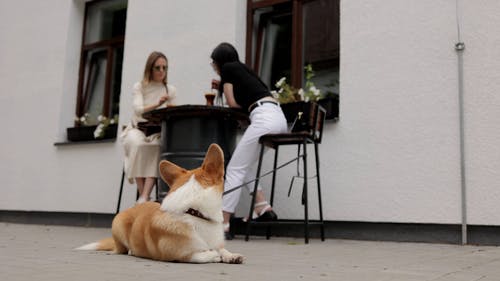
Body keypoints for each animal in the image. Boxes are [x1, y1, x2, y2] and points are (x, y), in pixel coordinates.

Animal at [75, 143, 244, 264]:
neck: (194, 212)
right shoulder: (178, 254)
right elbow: (202, 254)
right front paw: (213, 254)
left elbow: (222, 249)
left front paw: (231, 255)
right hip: (117, 223)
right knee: (122, 249)